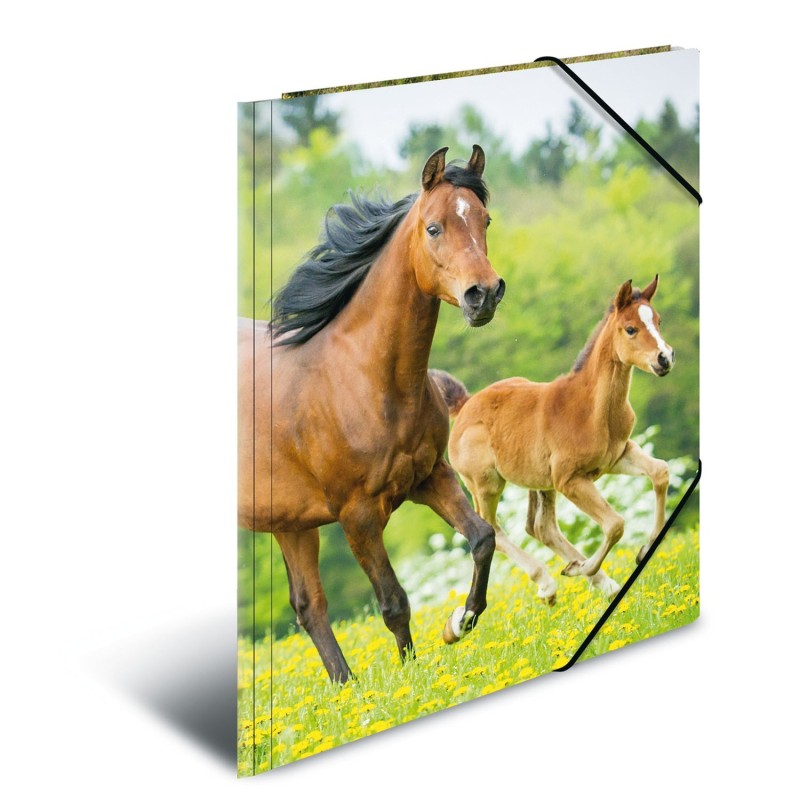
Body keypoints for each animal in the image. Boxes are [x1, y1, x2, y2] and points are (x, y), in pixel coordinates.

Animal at [239, 146, 506, 682]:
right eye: (433, 227)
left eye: (484, 219)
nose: (483, 294)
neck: (362, 379)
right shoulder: (357, 515)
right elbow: (393, 601)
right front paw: (411, 677)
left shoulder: (431, 477)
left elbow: (483, 538)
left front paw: (459, 622)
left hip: (289, 523)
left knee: (309, 606)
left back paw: (347, 688)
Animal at [433, 276, 673, 603]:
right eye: (631, 329)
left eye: (658, 321)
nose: (665, 358)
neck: (591, 409)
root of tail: (465, 405)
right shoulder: (569, 480)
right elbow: (615, 524)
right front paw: (583, 568)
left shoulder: (619, 455)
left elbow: (660, 472)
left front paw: (643, 550)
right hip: (486, 484)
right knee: (493, 528)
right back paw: (549, 582)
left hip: (539, 481)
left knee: (540, 527)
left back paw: (601, 581)